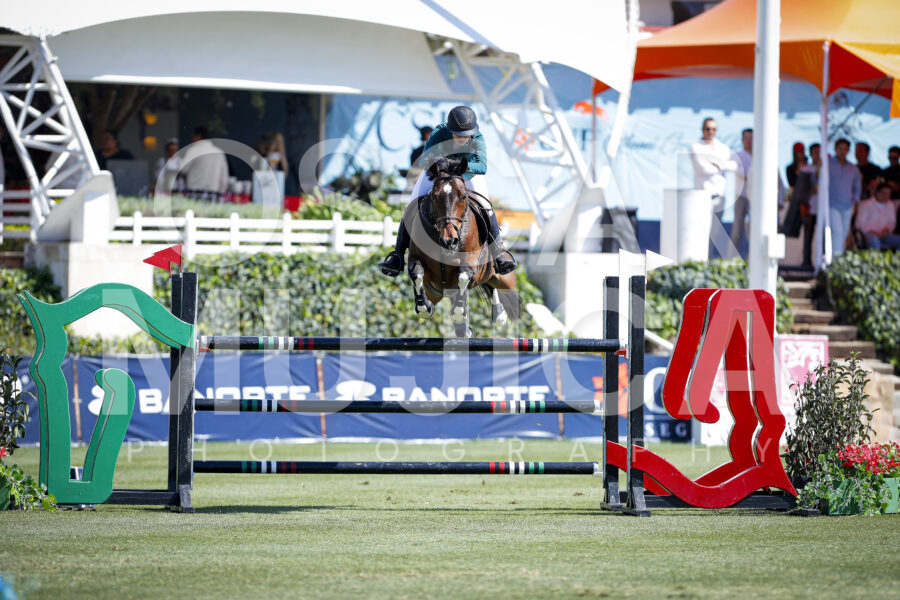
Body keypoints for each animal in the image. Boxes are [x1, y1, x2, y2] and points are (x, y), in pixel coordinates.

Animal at [405, 157, 519, 338]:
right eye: (434, 197)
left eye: (463, 196)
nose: (449, 241)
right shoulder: (416, 259)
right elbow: (417, 274)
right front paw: (423, 307)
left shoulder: (471, 262)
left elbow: (464, 276)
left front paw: (459, 313)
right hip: (436, 292)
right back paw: (464, 329)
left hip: (505, 279)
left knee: (496, 285)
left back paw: (498, 314)